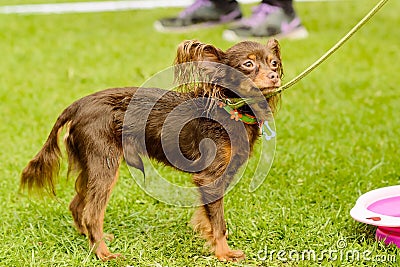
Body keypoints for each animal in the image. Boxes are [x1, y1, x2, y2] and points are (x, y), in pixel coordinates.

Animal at [18, 39, 282, 262]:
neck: (227, 107)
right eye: (248, 64)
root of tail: (78, 105)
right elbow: (219, 222)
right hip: (105, 165)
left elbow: (208, 216)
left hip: (91, 165)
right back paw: (103, 253)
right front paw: (224, 253)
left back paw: (93, 240)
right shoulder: (209, 177)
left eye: (274, 63)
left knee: (76, 205)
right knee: (91, 213)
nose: (274, 76)